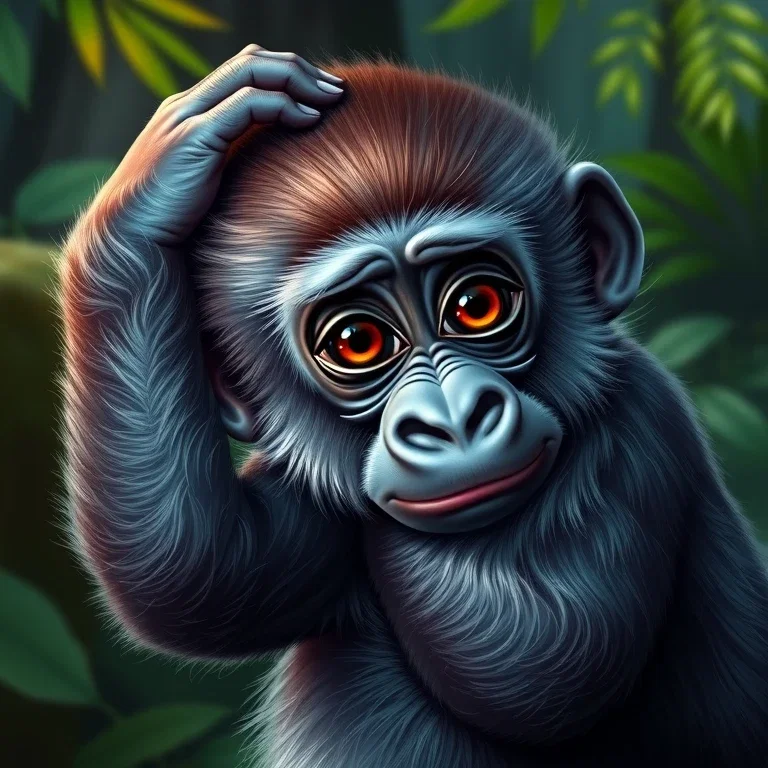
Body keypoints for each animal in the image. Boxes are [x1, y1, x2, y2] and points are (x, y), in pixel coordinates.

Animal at [58, 44, 768, 768]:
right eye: (357, 342)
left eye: (477, 305)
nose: (451, 420)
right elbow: (195, 569)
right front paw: (156, 193)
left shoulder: (637, 427)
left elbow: (546, 648)